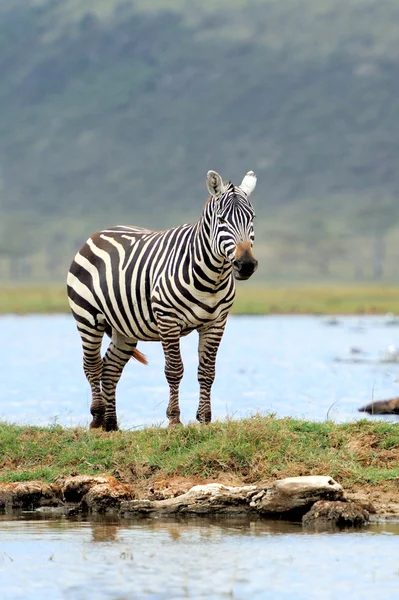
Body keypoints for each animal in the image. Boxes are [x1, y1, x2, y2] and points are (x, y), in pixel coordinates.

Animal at [67, 170, 258, 432]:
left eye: (252, 218)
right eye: (221, 220)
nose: (246, 265)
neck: (212, 277)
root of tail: (99, 233)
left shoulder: (216, 322)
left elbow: (207, 371)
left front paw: (205, 420)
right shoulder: (168, 319)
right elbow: (174, 370)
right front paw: (175, 420)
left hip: (124, 328)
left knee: (110, 369)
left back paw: (111, 424)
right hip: (87, 317)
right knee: (92, 365)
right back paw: (97, 418)